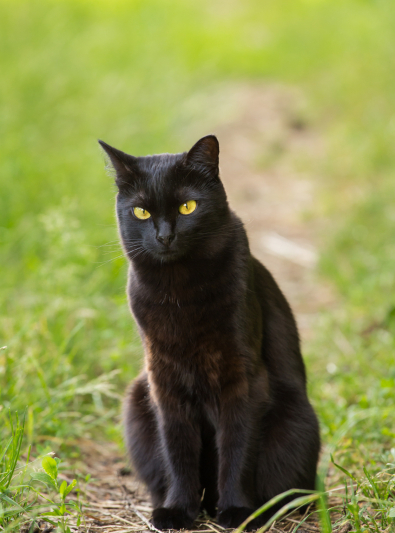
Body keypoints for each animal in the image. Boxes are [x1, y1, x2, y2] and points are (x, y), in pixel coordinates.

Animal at [100, 135, 322, 528]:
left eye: (188, 207)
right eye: (141, 212)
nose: (165, 236)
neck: (179, 294)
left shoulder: (243, 377)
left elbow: (237, 448)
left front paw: (236, 511)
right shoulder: (164, 381)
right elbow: (178, 451)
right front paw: (177, 511)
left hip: (297, 421)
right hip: (136, 404)